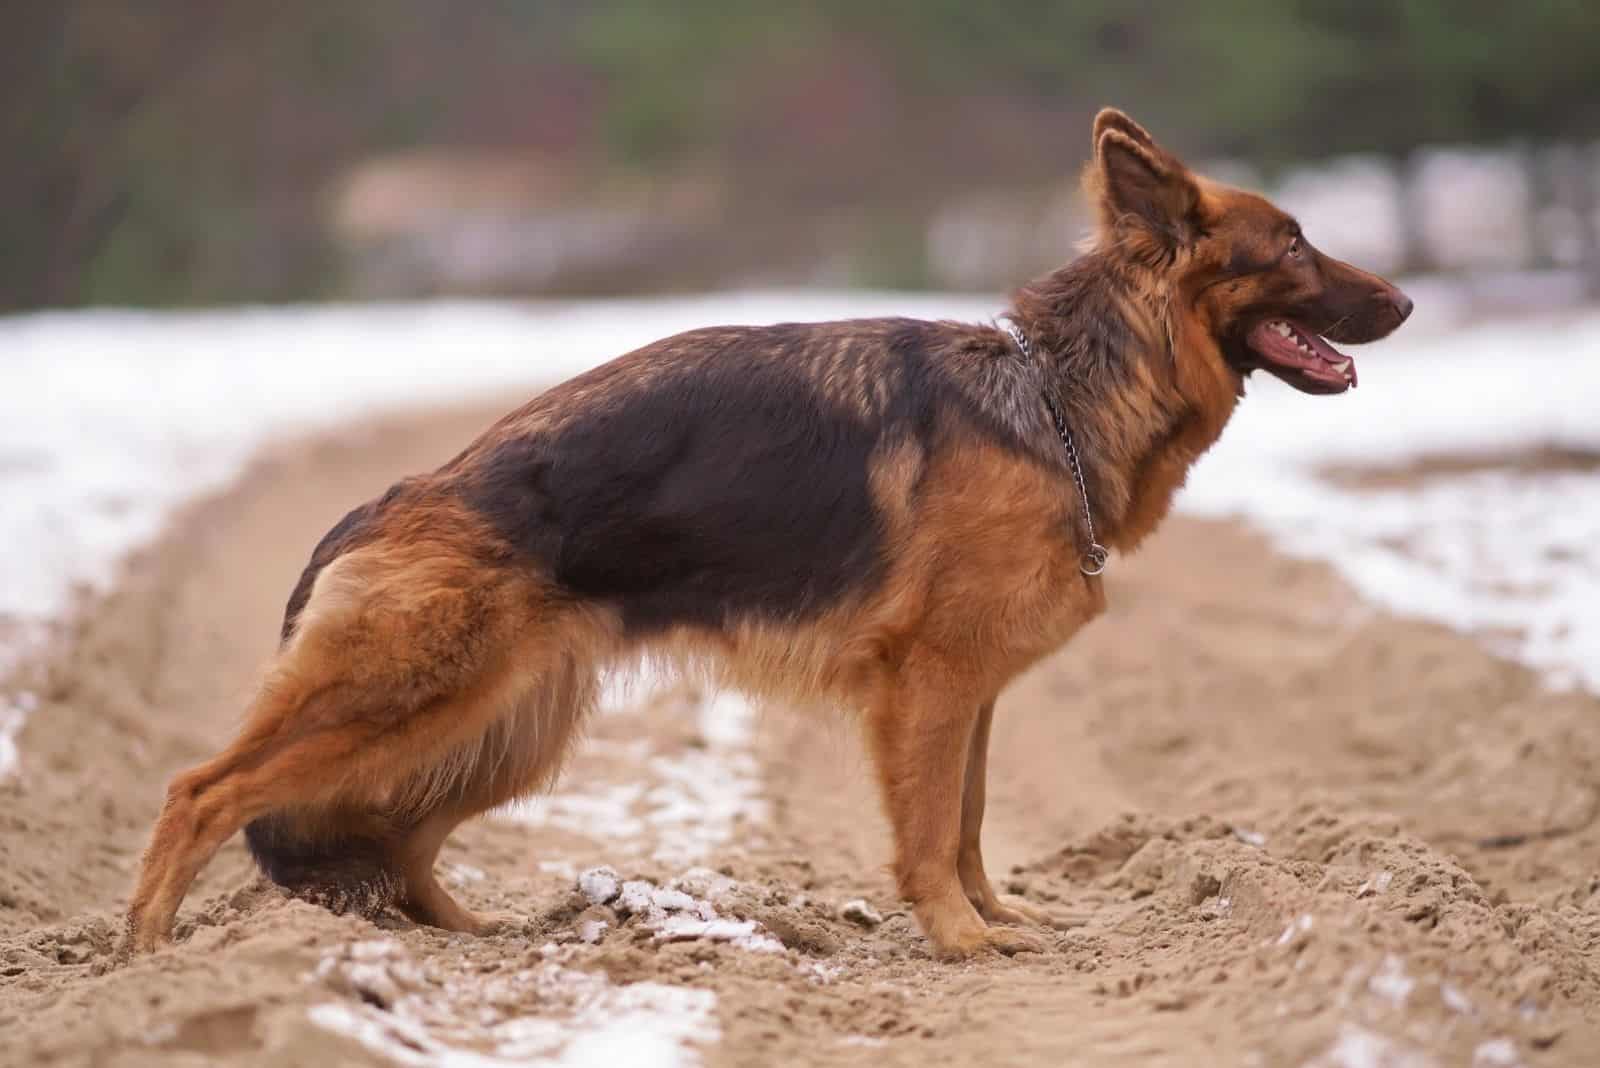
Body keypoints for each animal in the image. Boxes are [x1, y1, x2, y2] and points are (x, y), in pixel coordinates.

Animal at [131, 110, 1420, 959]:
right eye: (1291, 245)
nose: (1407, 302)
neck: (1053, 397)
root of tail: (384, 502)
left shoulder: (971, 694)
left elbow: (968, 823)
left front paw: (996, 920)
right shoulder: (931, 688)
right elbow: (929, 832)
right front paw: (960, 941)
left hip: (499, 728)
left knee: (400, 847)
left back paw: (468, 938)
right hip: (411, 703)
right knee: (201, 790)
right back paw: (146, 954)